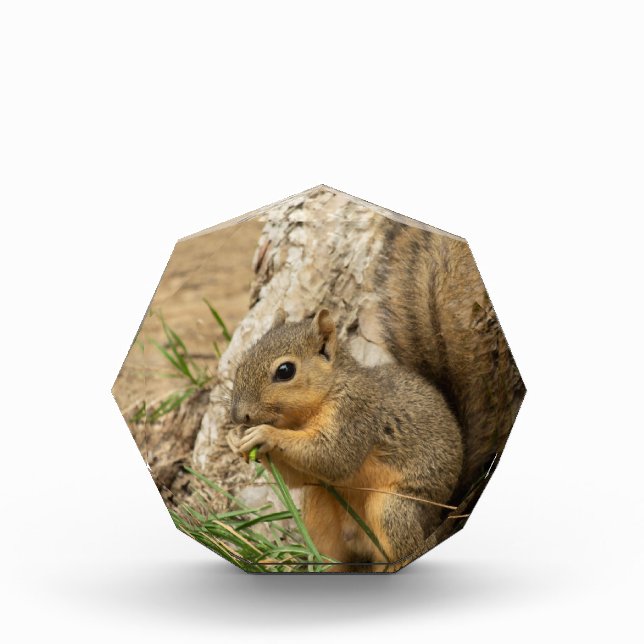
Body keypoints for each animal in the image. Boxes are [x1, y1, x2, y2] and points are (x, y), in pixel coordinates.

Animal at [228, 221, 525, 572]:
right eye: (245, 357)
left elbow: (334, 457)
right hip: (320, 508)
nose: (238, 416)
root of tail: (446, 509)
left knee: (404, 548)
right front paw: (239, 441)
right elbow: (300, 477)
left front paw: (264, 434)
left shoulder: (357, 415)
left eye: (285, 371)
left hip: (394, 508)